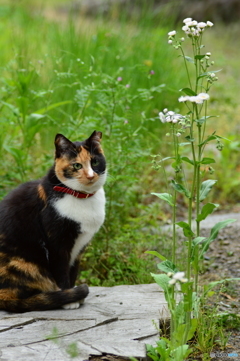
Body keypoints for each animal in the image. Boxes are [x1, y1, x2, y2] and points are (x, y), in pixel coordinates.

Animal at [0, 130, 106, 312]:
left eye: (95, 161)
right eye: (77, 166)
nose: (91, 175)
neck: (82, 197)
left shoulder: (80, 247)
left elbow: (73, 271)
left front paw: (75, 295)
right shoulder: (57, 243)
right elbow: (61, 271)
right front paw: (69, 299)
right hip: (24, 262)